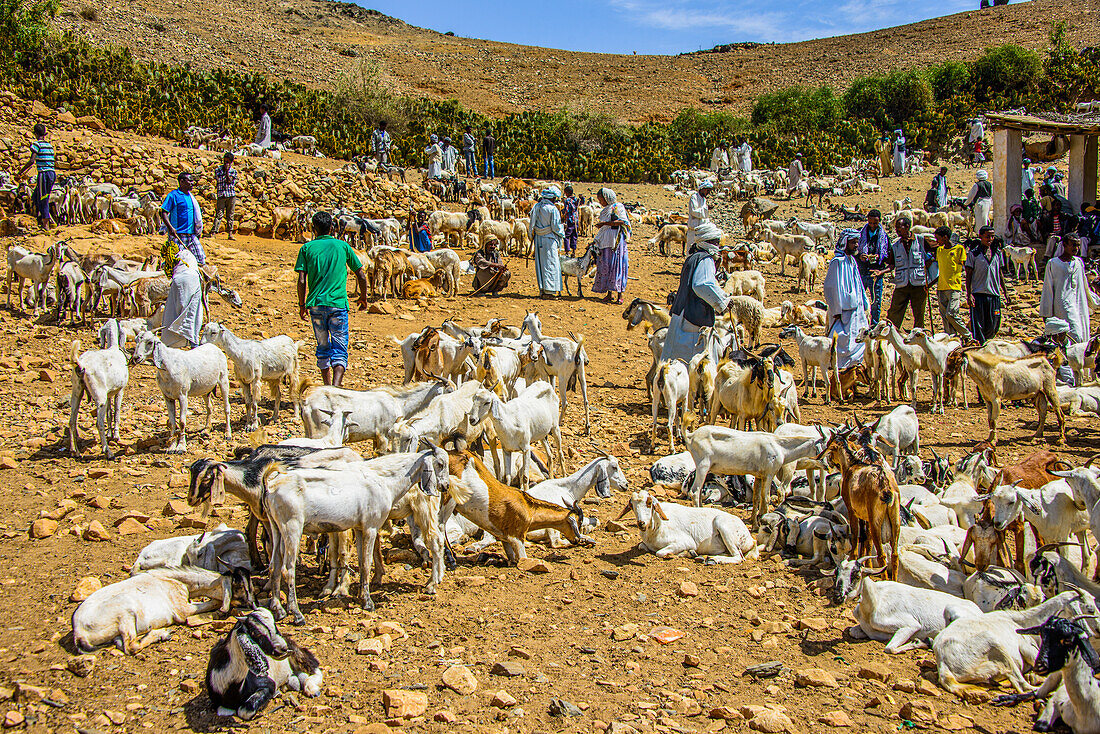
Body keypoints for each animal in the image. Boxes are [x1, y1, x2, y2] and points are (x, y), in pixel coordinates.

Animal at [67, 323, 128, 459]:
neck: (114, 348)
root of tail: (81, 365)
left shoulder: (109, 393)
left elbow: (109, 413)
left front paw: (110, 433)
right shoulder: (120, 390)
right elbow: (116, 411)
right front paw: (116, 435)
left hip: (77, 391)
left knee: (72, 421)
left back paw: (75, 451)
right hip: (100, 396)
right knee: (99, 423)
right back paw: (108, 452)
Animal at [261, 444, 446, 625]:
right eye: (440, 463)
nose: (445, 486)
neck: (383, 480)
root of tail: (272, 485)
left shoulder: (359, 528)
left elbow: (360, 560)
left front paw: (358, 595)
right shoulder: (370, 526)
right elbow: (365, 562)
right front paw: (367, 601)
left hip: (277, 528)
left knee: (274, 565)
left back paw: (278, 610)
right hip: (292, 527)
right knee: (287, 569)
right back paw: (296, 614)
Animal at [440, 448, 594, 563]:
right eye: (577, 523)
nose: (576, 540)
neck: (528, 508)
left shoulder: (505, 539)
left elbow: (511, 559)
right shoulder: (516, 538)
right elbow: (523, 558)